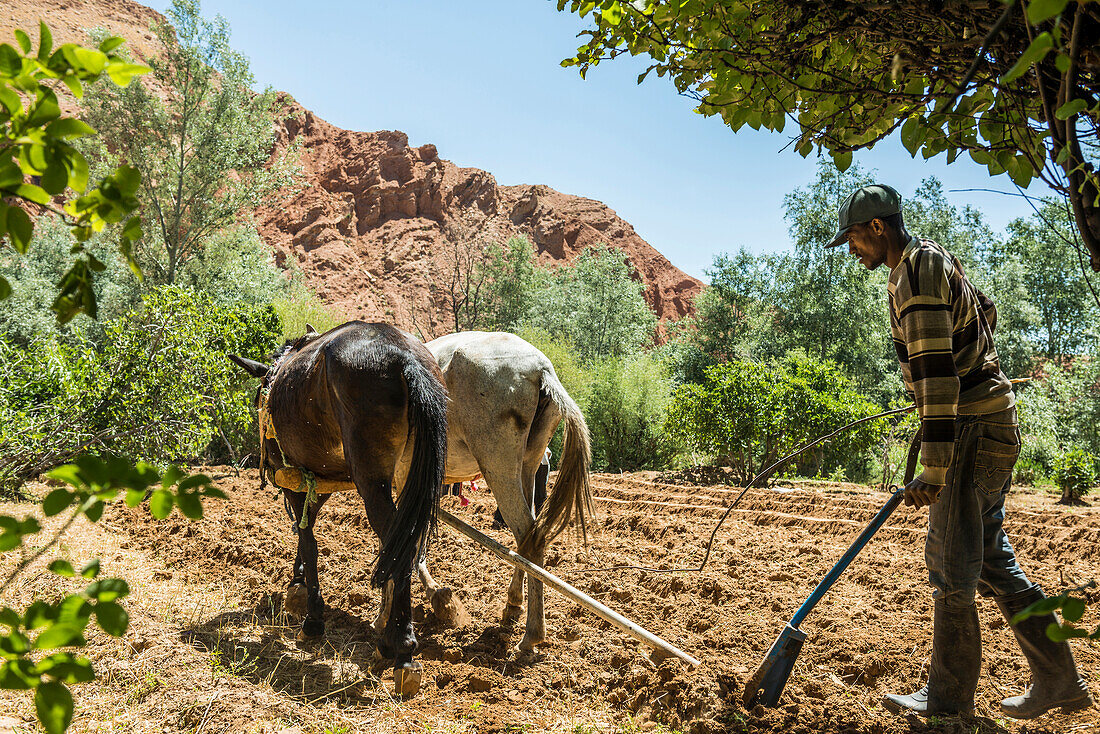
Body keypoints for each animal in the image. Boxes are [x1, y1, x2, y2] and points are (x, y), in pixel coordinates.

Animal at [228, 321, 446, 695]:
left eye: (258, 399)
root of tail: (404, 357)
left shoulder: (297, 478)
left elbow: (308, 540)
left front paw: (311, 617)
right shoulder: (323, 477)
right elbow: (306, 531)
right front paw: (297, 583)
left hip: (372, 479)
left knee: (397, 544)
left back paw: (401, 648)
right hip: (410, 476)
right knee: (404, 541)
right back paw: (390, 639)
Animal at [407, 330, 594, 651]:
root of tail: (541, 370)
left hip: (498, 464)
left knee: (527, 534)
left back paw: (532, 634)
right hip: (528, 465)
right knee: (529, 534)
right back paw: (513, 605)